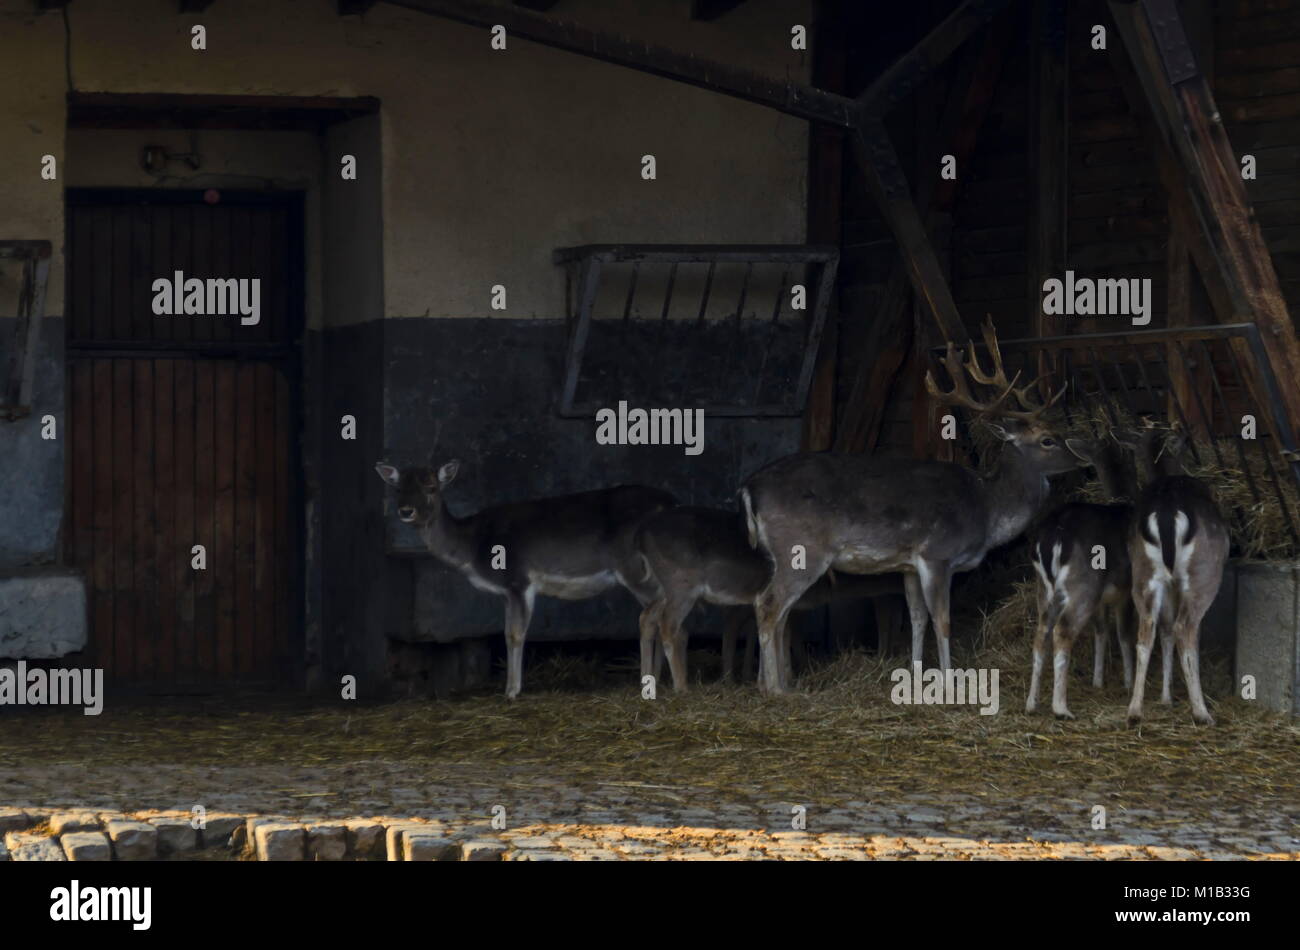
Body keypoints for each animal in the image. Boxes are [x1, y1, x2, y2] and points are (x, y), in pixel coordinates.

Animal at [374, 460, 670, 696]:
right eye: (398, 489)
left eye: (431, 487)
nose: (406, 511)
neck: (473, 548)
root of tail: (673, 502)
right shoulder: (507, 592)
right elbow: (506, 633)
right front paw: (510, 687)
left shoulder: (519, 580)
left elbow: (517, 634)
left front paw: (512, 691)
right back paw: (657, 677)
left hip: (634, 568)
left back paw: (649, 681)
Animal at [743, 319, 1076, 691]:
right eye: (1047, 440)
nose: (1081, 458)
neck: (987, 510)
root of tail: (749, 488)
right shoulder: (937, 554)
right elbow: (942, 620)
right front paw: (949, 682)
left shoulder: (909, 565)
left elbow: (917, 618)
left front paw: (916, 673)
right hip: (801, 549)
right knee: (768, 605)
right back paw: (776, 690)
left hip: (778, 554)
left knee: (777, 609)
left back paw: (773, 683)